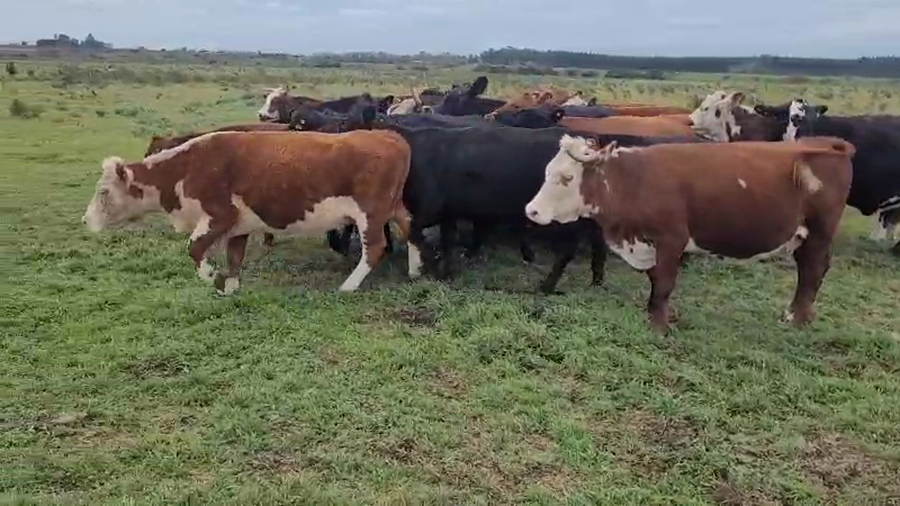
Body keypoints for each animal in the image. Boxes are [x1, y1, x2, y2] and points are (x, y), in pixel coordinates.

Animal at [81, 130, 415, 293]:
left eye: (103, 192)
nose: (86, 220)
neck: (187, 167)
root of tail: (389, 136)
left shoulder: (219, 217)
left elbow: (195, 250)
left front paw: (215, 280)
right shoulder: (238, 226)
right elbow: (234, 258)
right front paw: (230, 286)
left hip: (370, 215)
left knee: (375, 248)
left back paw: (348, 286)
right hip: (393, 206)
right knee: (410, 226)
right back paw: (415, 269)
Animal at [524, 134, 856, 333]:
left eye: (567, 177)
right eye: (547, 171)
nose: (532, 210)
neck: (634, 179)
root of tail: (827, 143)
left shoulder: (671, 240)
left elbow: (663, 284)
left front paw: (659, 326)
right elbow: (656, 281)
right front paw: (654, 316)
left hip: (819, 233)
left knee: (812, 271)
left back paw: (797, 319)